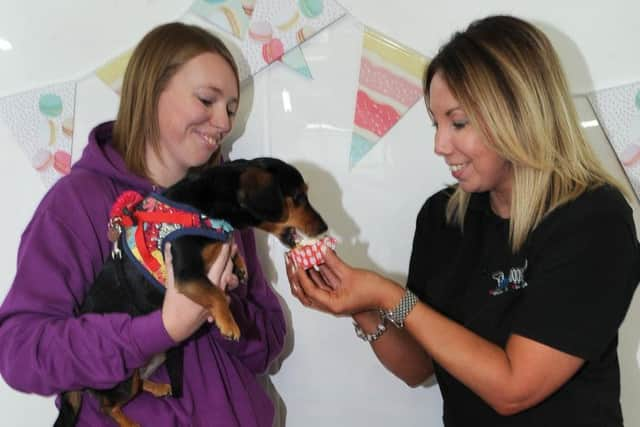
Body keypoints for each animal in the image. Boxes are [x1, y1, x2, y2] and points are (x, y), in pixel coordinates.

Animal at [53, 158, 328, 427]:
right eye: (299, 197)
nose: (324, 226)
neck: (209, 207)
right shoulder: (187, 274)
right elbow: (215, 293)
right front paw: (229, 323)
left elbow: (230, 255)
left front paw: (239, 265)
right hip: (123, 380)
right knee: (107, 406)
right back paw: (131, 423)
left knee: (137, 386)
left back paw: (157, 387)